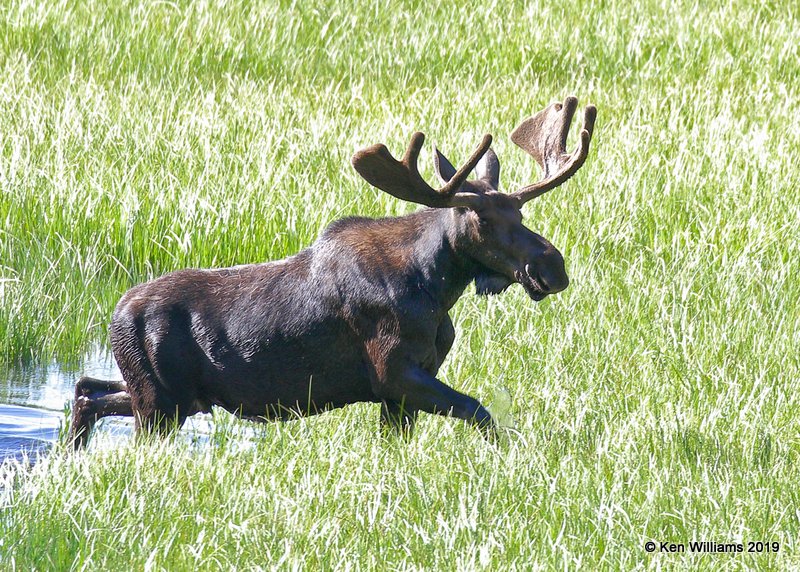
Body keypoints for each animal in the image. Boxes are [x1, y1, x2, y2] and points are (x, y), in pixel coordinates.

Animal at [70, 96, 592, 450]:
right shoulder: (394, 373)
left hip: (167, 395)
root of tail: (114, 317)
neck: (437, 288)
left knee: (87, 390)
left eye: (520, 214)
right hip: (160, 405)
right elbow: (481, 412)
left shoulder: (404, 387)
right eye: (481, 221)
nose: (552, 266)